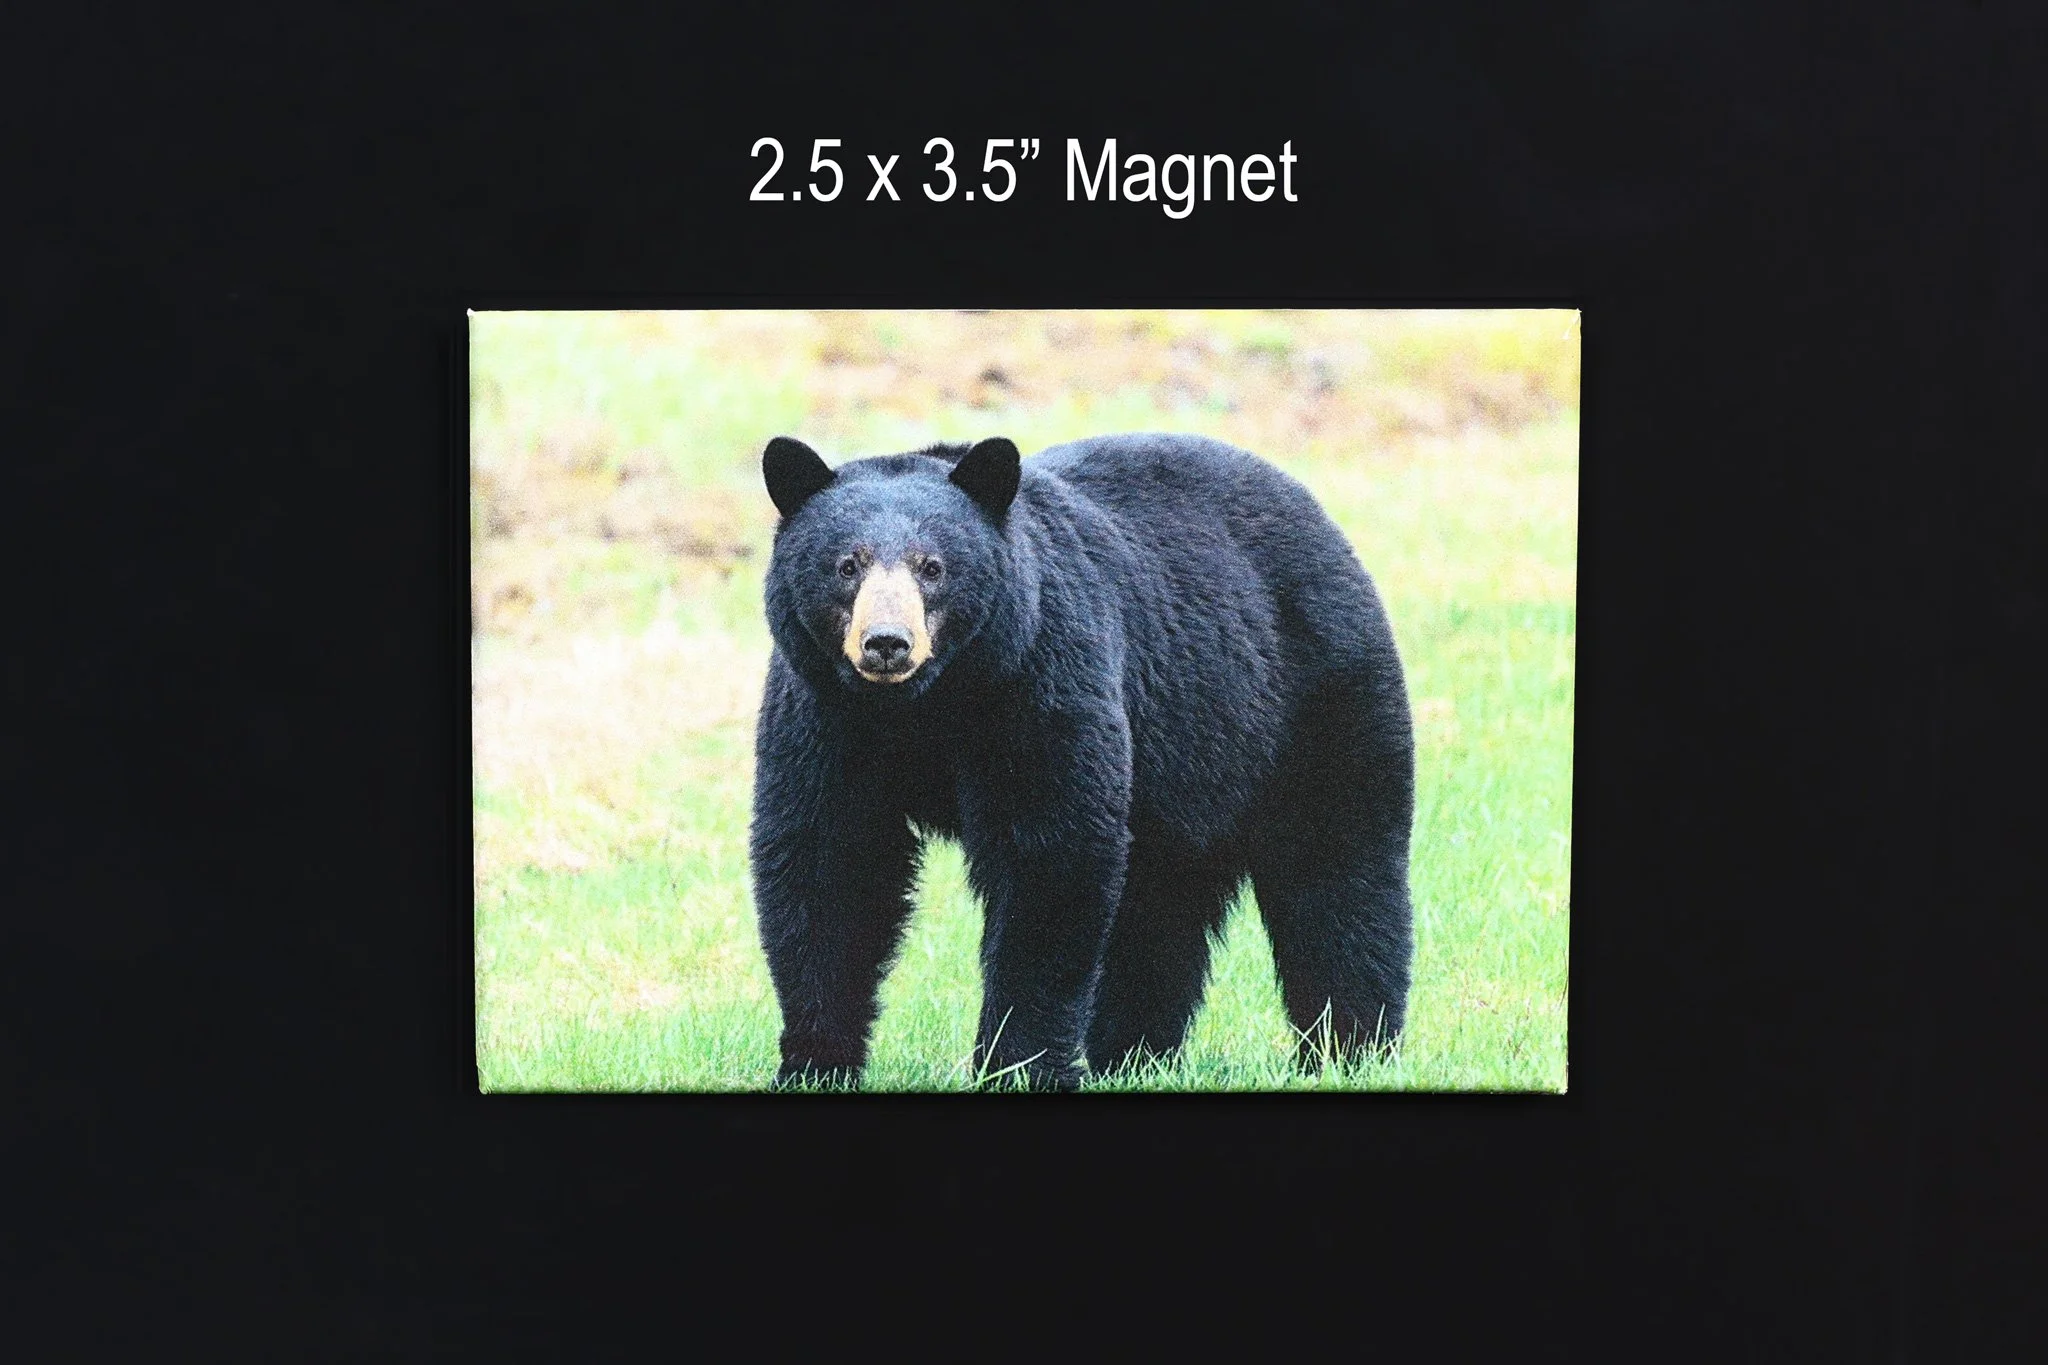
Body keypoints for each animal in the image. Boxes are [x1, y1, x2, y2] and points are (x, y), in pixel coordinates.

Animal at [749, 431, 1415, 1091]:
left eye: (932, 567)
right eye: (847, 565)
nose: (887, 643)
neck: (926, 705)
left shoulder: (1041, 680)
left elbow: (1050, 859)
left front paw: (1018, 1067)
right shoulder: (825, 716)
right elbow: (830, 865)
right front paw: (814, 1064)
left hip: (1310, 699)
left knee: (1337, 872)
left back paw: (1348, 1050)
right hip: (1186, 767)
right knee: (1159, 905)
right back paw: (1136, 1055)